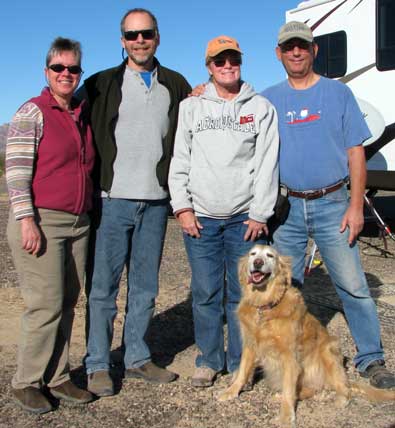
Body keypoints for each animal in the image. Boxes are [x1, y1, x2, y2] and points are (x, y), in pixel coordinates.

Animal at [220, 244, 395, 428]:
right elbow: (242, 371)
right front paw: (231, 391)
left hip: (328, 350)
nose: (258, 262)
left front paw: (286, 417)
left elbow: (289, 390)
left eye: (270, 255)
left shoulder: (290, 356)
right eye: (253, 254)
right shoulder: (250, 344)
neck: (264, 305)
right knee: (312, 389)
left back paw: (340, 399)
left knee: (340, 387)